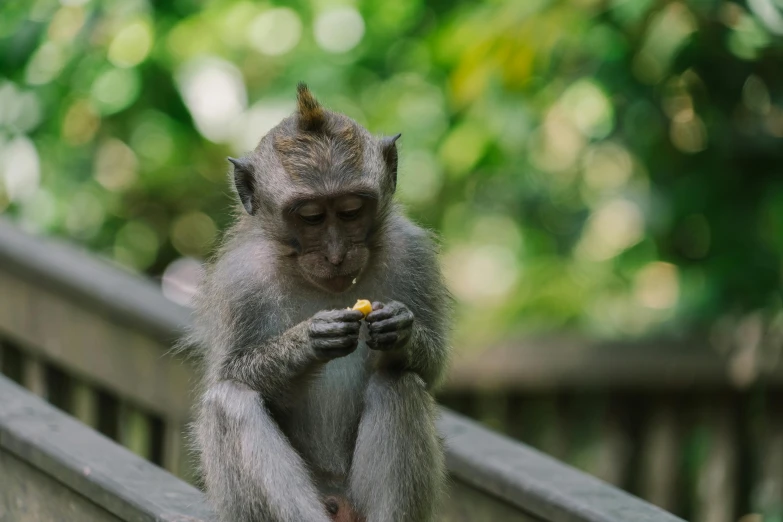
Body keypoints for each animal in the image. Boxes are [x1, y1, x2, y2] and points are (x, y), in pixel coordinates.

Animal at [186, 82, 450, 520]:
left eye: (351, 210)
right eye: (309, 216)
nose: (336, 254)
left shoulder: (413, 253)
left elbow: (430, 371)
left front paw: (400, 330)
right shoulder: (238, 281)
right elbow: (228, 374)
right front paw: (308, 339)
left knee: (399, 385)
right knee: (229, 403)